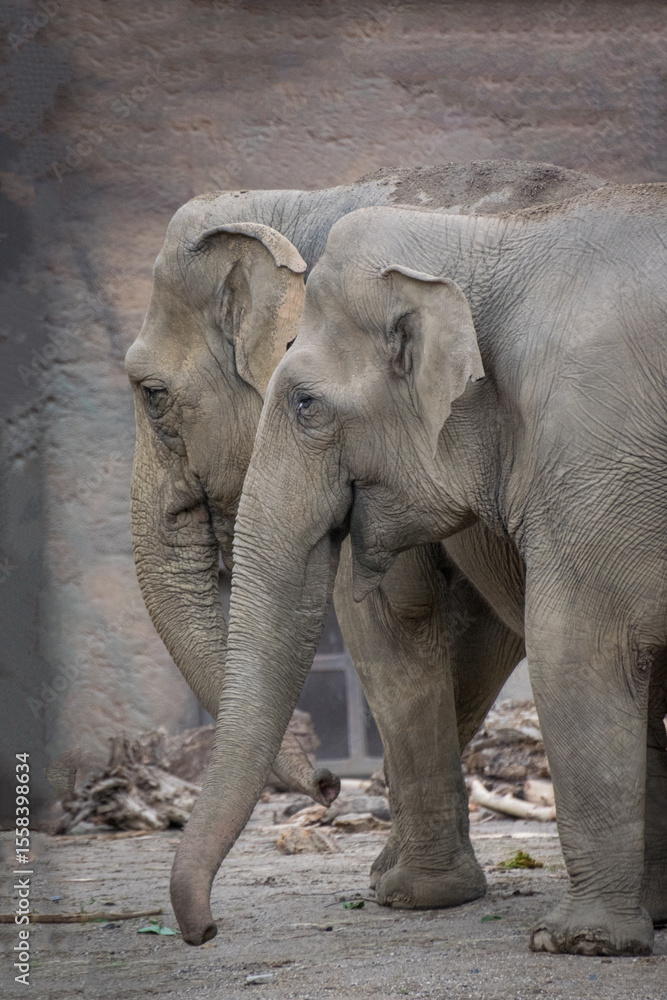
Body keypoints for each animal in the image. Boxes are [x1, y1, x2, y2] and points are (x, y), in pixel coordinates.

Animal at [171, 183, 667, 958]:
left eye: (305, 404)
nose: (205, 931)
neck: (491, 239)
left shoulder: (595, 440)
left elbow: (577, 651)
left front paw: (577, 942)